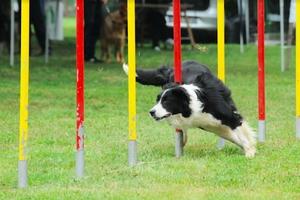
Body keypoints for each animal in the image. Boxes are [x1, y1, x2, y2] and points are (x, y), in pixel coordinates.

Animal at [123, 60, 256, 157]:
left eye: (166, 101)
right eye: (158, 100)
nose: (151, 112)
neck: (193, 105)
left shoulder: (229, 117)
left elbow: (239, 132)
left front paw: (249, 151)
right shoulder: (209, 124)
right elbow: (233, 136)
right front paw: (250, 148)